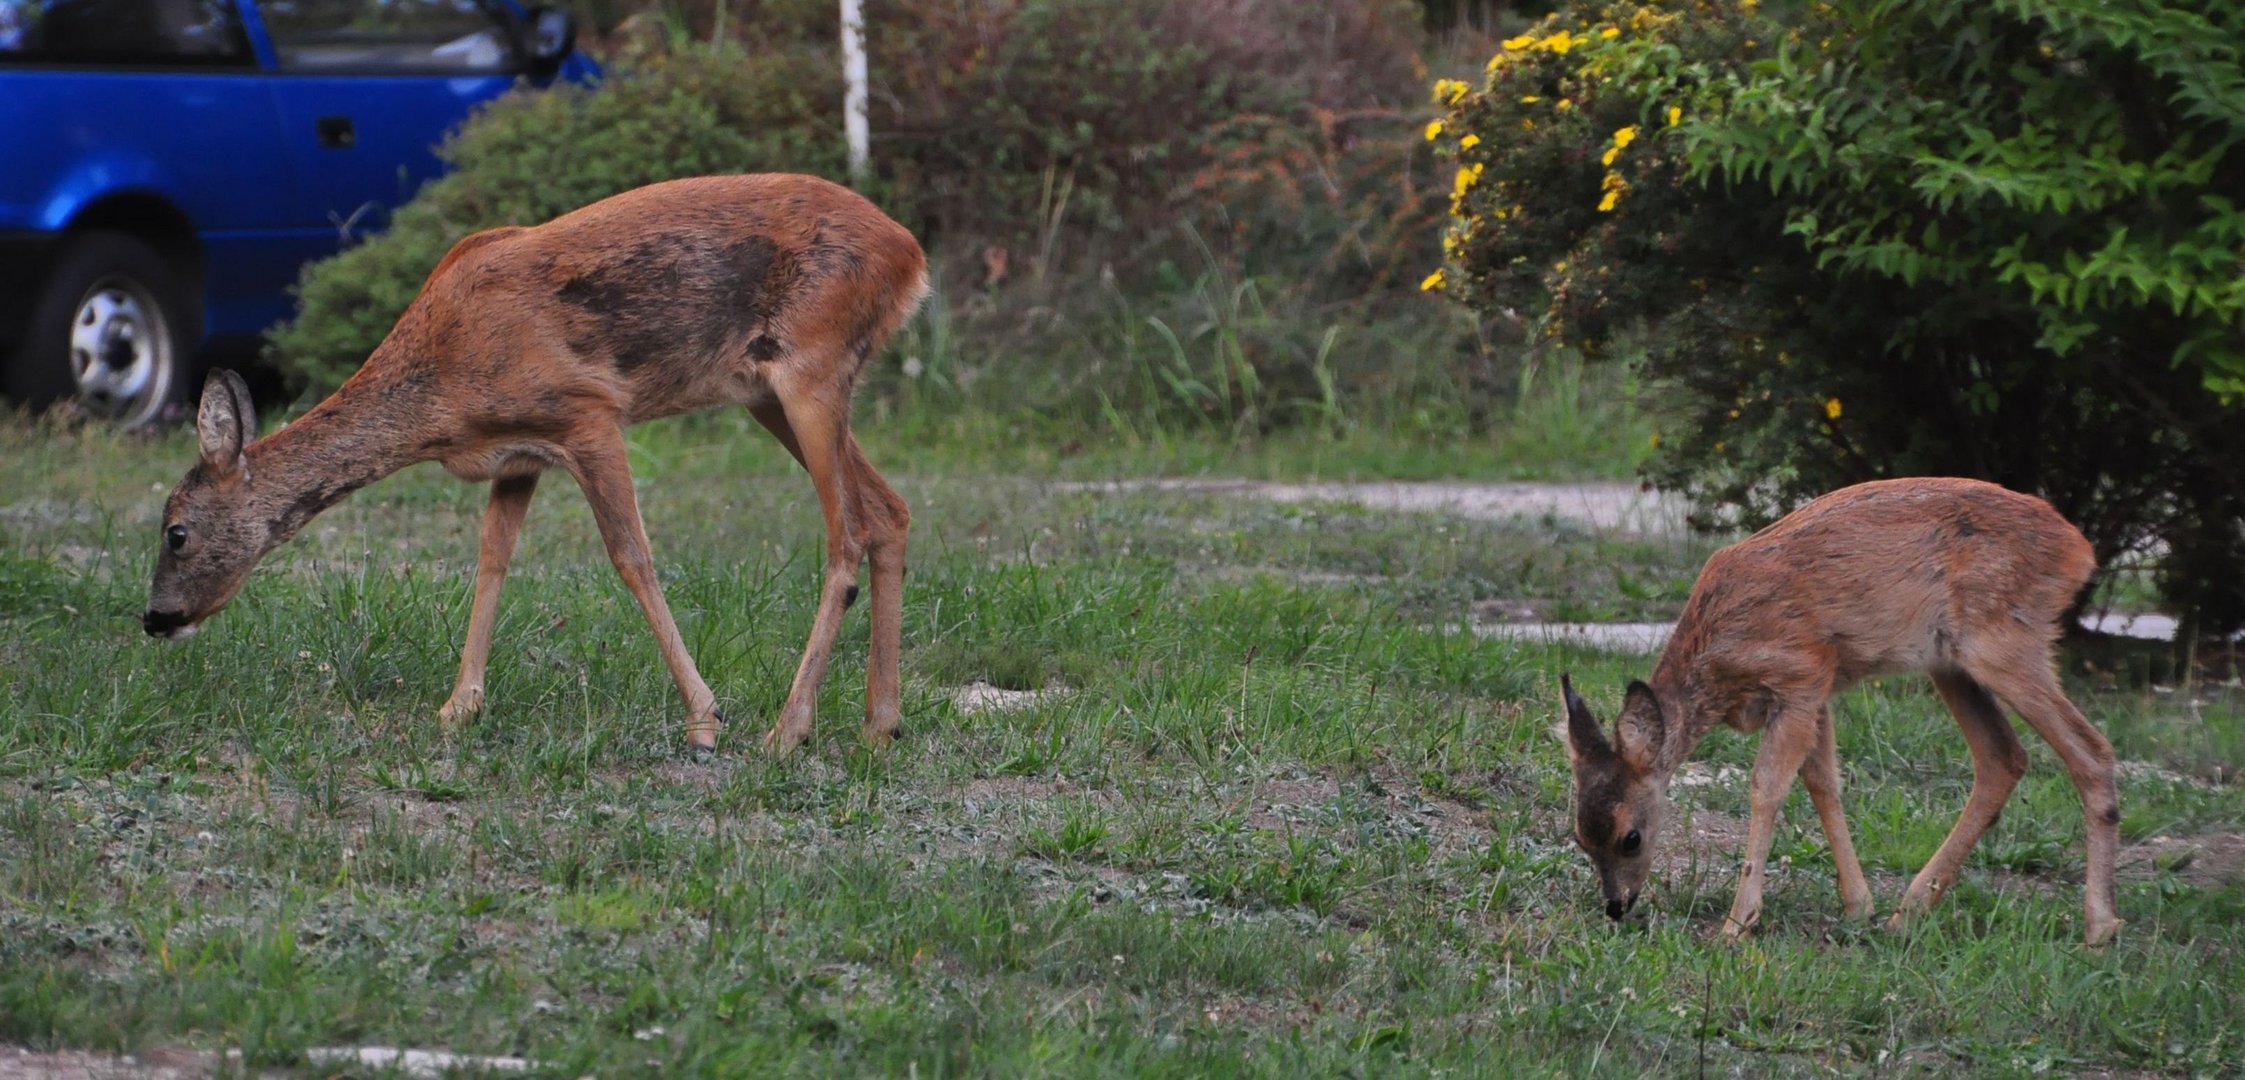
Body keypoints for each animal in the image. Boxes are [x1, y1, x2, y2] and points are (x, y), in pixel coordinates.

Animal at [144, 172, 929, 754]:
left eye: (176, 532)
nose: (154, 618)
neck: (442, 390)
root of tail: (911, 255)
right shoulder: (519, 453)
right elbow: (493, 556)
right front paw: (458, 706)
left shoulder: (588, 411)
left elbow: (631, 556)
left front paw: (704, 717)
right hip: (768, 393)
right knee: (890, 510)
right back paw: (878, 724)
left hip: (811, 365)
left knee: (847, 534)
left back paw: (788, 731)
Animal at [1562, 478, 2119, 943]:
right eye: (1581, 837)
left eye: (1631, 838)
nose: (1616, 906)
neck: (1717, 657)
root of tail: (2078, 548)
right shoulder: (1818, 690)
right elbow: (1823, 782)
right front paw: (1859, 907)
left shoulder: (1801, 672)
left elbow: (1766, 786)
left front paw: (1737, 925)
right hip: (1951, 662)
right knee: (2003, 757)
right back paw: (1908, 911)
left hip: (2003, 641)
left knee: (2091, 750)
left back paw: (2099, 929)